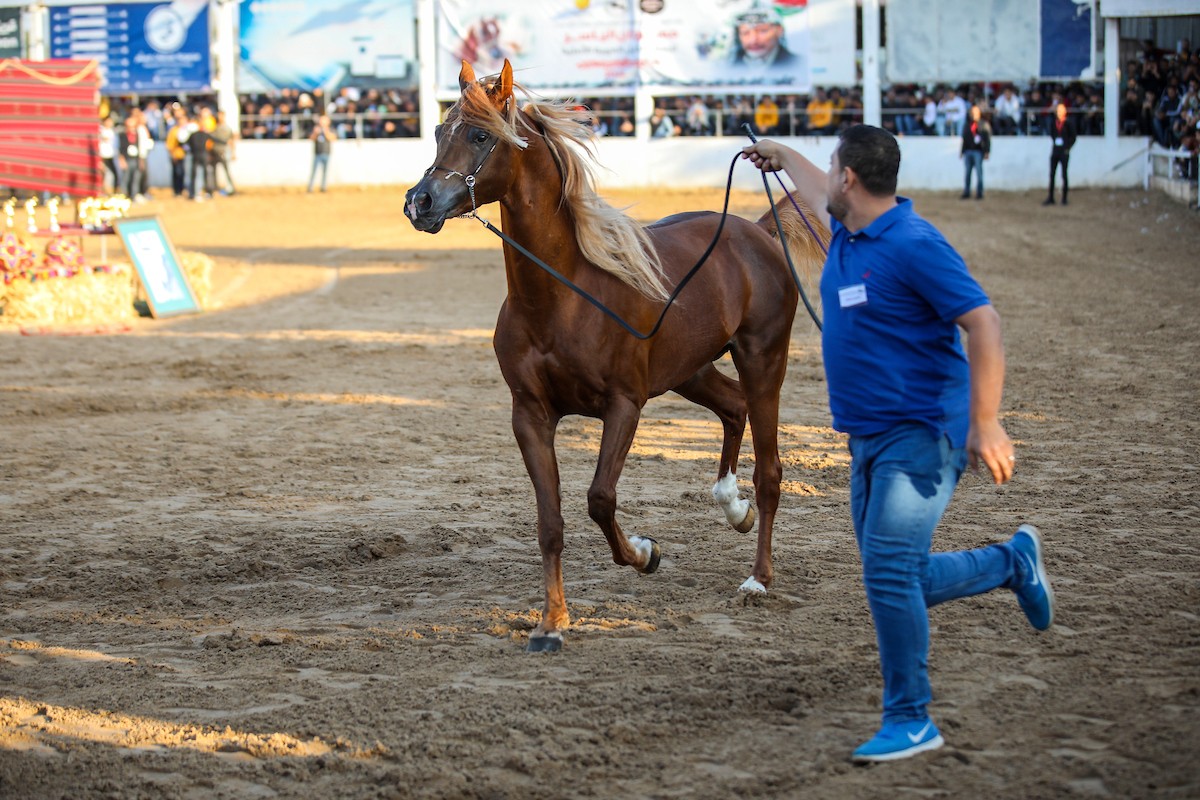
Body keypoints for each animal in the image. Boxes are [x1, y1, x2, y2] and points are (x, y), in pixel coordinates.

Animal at [403, 61, 825, 652]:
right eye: (441, 132)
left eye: (482, 136)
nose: (420, 202)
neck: (563, 296)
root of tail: (754, 232)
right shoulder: (529, 415)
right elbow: (551, 523)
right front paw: (551, 622)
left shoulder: (625, 405)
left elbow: (600, 498)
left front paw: (646, 553)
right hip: (690, 370)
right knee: (733, 408)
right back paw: (731, 504)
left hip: (763, 360)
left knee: (770, 470)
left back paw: (758, 577)